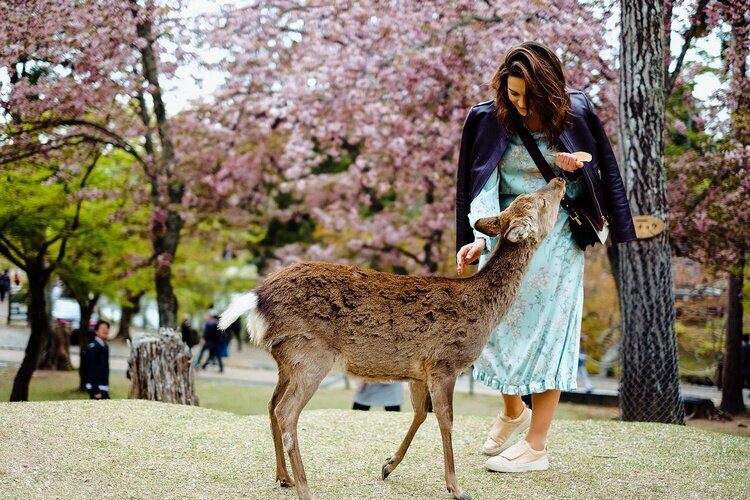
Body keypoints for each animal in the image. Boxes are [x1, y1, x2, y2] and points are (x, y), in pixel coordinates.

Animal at [220, 178, 565, 500]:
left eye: (529, 197)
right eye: (540, 202)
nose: (559, 180)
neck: (484, 312)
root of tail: (256, 298)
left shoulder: (418, 371)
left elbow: (420, 414)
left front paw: (388, 465)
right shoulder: (445, 363)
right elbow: (446, 420)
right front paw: (456, 488)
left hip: (287, 360)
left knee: (271, 405)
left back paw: (284, 477)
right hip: (310, 354)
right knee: (286, 412)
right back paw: (305, 488)